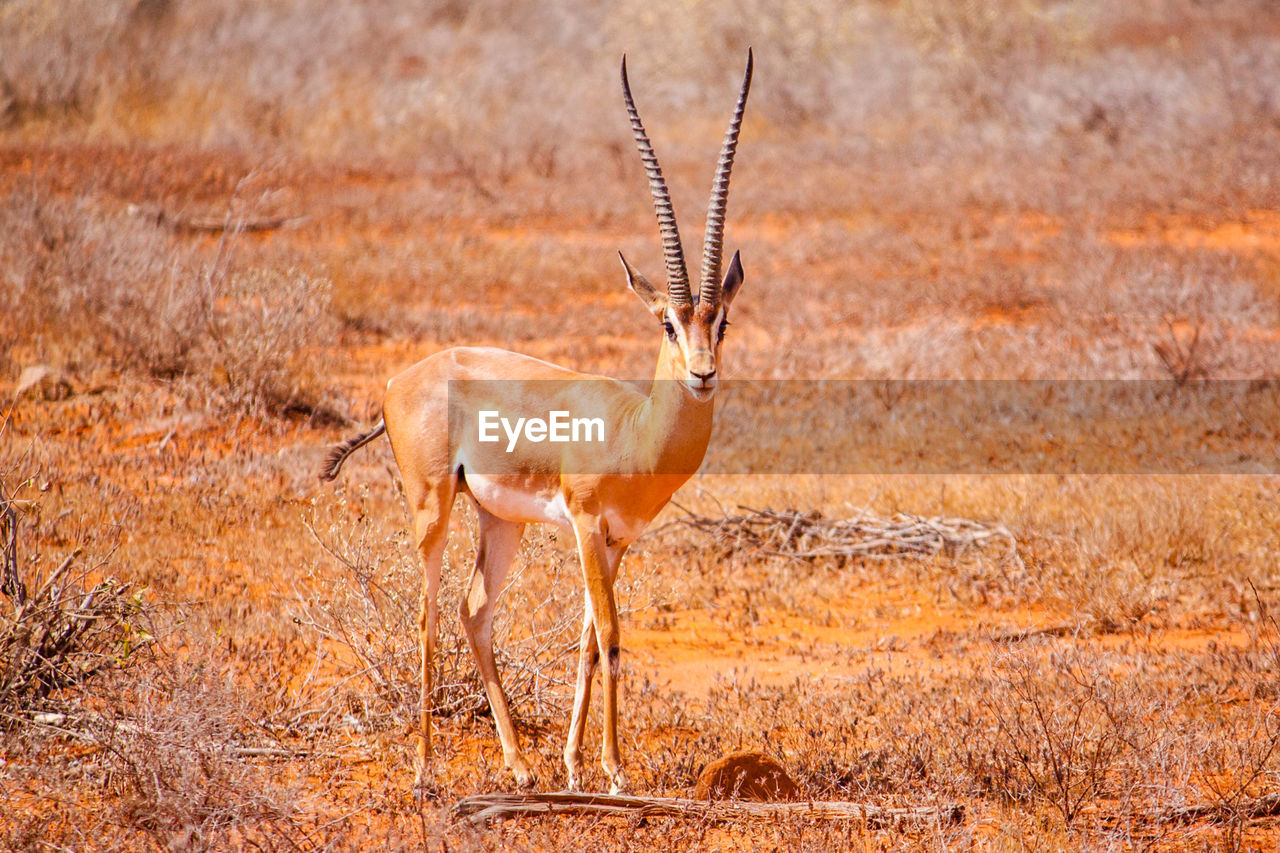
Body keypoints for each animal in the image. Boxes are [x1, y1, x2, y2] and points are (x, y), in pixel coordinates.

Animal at [319, 52, 753, 794]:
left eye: (719, 321)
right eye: (666, 322)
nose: (702, 374)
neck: (634, 429)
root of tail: (402, 380)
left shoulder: (616, 540)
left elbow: (586, 641)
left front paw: (575, 765)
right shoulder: (584, 523)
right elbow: (611, 635)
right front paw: (614, 770)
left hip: (501, 520)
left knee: (473, 611)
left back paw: (521, 766)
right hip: (433, 506)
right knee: (428, 613)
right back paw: (424, 768)